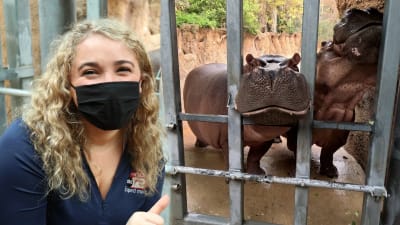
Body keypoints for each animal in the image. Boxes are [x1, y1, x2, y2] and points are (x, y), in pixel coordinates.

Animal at [284, 7, 382, 178]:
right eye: (325, 44)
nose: (370, 9)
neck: (335, 105)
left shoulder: (339, 135)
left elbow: (328, 153)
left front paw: (331, 172)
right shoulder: (297, 137)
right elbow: (298, 152)